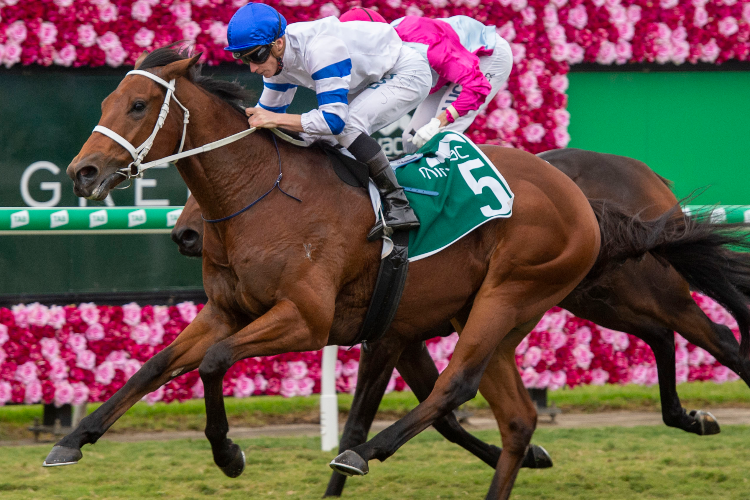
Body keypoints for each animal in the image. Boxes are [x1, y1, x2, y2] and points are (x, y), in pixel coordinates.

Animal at [172, 147, 750, 496]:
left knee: (718, 336)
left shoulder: (392, 335)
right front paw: (529, 455)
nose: (185, 235)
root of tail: (643, 171)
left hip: (641, 288)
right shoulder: (401, 336)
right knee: (661, 335)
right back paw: (688, 416)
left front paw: (352, 458)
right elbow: (437, 416)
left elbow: (367, 422)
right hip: (597, 296)